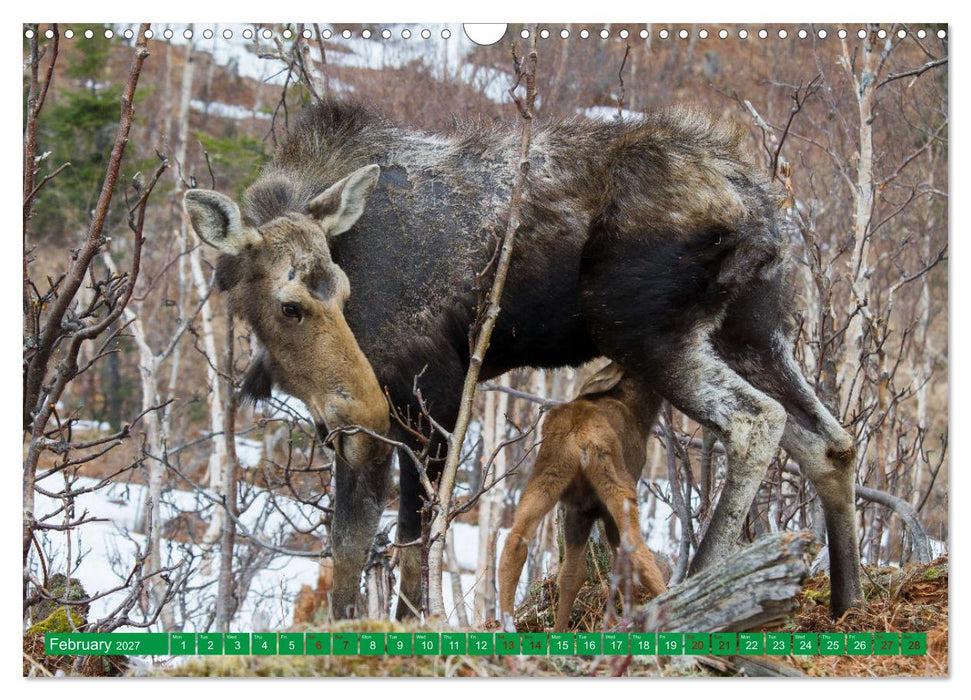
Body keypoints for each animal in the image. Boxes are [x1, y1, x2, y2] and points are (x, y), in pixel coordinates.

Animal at [498, 362, 669, 632]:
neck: (641, 413)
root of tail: (578, 438)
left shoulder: (580, 510)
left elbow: (572, 574)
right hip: (616, 483)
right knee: (638, 551)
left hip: (544, 477)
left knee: (515, 542)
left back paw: (507, 623)